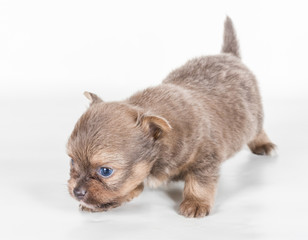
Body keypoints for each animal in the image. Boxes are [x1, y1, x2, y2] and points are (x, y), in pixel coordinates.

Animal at [67, 17, 274, 218]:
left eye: (105, 171)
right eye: (72, 161)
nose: (77, 192)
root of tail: (229, 56)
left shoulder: (205, 158)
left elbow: (199, 182)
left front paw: (195, 202)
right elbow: (132, 185)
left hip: (254, 118)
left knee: (258, 130)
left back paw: (264, 144)